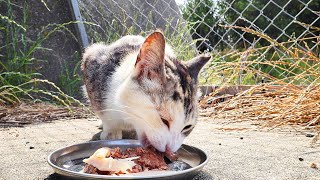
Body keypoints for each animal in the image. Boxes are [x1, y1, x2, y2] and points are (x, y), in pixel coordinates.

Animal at [82, 30, 210, 153]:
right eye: (163, 120)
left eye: (187, 127)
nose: (169, 148)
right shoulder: (92, 61)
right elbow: (104, 114)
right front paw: (111, 132)